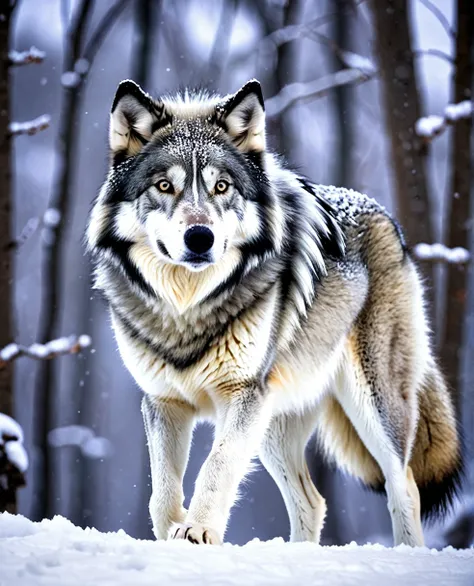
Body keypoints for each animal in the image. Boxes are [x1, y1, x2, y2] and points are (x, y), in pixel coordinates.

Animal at [85, 76, 460, 544]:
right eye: (164, 186)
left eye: (222, 187)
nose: (200, 237)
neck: (188, 307)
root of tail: (385, 218)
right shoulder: (164, 401)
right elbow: (161, 492)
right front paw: (172, 531)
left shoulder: (243, 393)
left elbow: (216, 465)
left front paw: (197, 532)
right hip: (274, 419)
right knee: (312, 502)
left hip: (370, 402)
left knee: (403, 485)